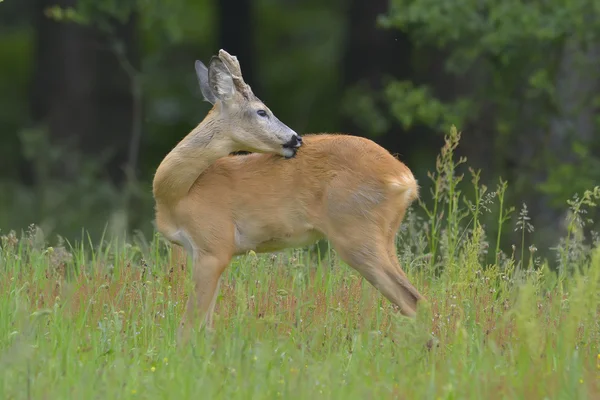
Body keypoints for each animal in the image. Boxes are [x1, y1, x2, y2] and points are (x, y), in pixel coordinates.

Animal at [155, 49, 426, 344]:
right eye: (262, 111)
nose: (296, 138)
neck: (179, 193)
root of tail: (405, 178)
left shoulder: (215, 244)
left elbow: (188, 326)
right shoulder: (199, 251)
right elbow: (206, 325)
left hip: (356, 231)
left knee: (411, 297)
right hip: (384, 235)